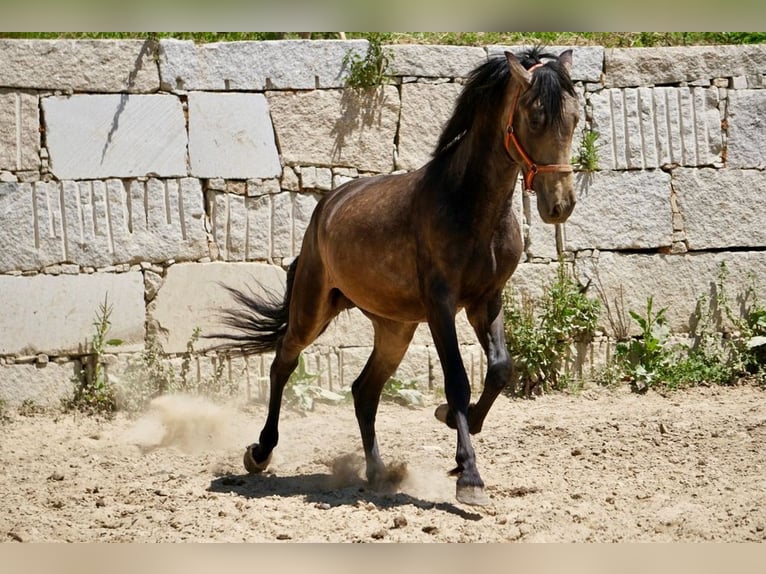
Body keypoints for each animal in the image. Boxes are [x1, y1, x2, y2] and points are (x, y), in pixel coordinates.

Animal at [213, 49, 580, 508]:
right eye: (534, 117)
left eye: (575, 117)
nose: (560, 205)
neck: (470, 206)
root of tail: (326, 205)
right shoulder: (442, 305)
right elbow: (457, 382)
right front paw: (469, 476)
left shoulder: (486, 301)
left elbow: (499, 369)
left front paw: (454, 425)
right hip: (313, 308)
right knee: (284, 361)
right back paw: (260, 452)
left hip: (395, 328)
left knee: (364, 390)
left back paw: (378, 472)